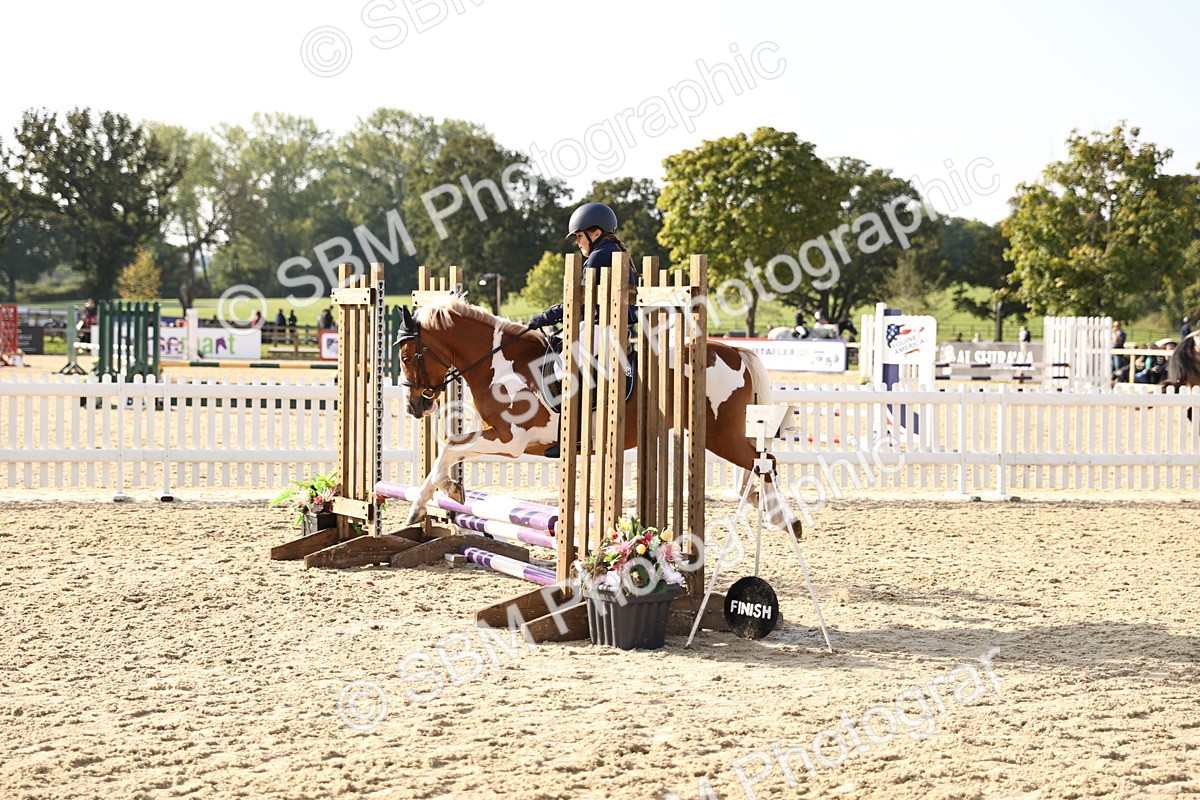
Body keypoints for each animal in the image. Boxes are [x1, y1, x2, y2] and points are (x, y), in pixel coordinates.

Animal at [394, 295, 803, 537]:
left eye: (407, 356)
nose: (415, 407)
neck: (499, 362)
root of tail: (733, 350)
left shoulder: (512, 440)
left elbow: (449, 446)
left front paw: (420, 507)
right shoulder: (499, 435)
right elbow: (451, 448)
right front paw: (448, 491)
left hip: (720, 435)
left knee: (765, 460)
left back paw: (785, 520)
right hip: (722, 433)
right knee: (758, 461)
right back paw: (762, 504)